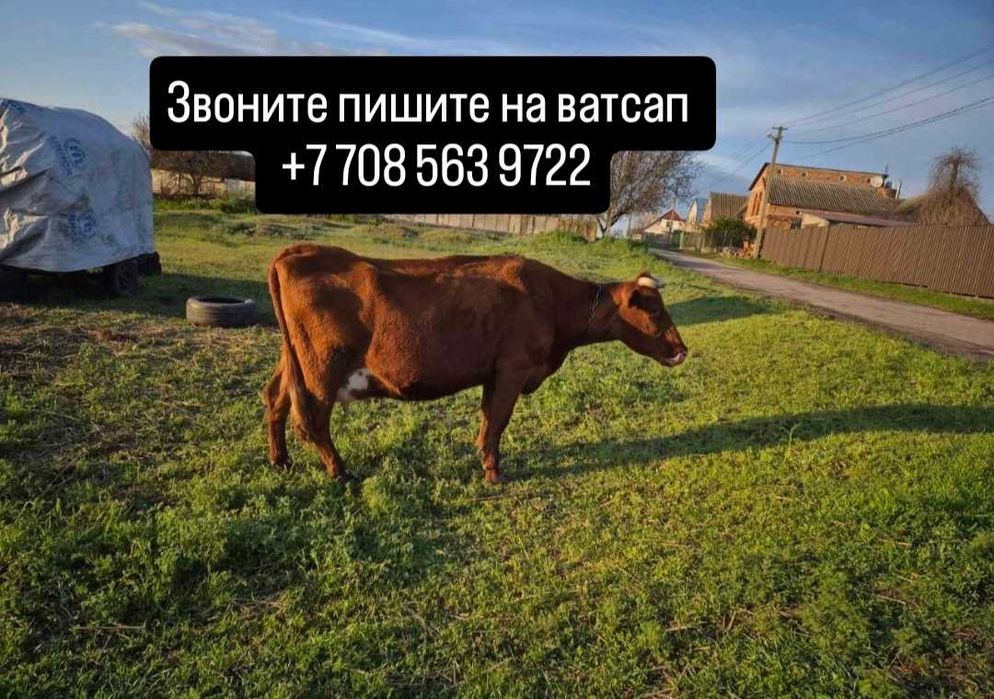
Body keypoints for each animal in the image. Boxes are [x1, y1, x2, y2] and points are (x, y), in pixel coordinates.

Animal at [263, 244, 687, 483]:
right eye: (654, 310)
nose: (681, 349)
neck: (551, 301)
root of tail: (298, 251)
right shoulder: (513, 368)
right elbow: (498, 420)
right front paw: (493, 472)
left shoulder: (494, 373)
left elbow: (487, 419)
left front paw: (485, 460)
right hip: (321, 370)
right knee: (313, 421)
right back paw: (339, 471)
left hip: (293, 362)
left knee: (275, 400)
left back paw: (280, 461)